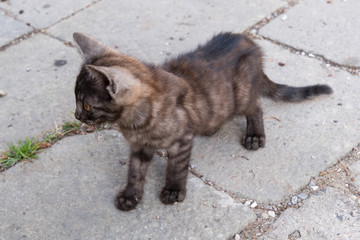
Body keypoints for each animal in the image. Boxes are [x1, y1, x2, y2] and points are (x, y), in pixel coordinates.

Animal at [71, 31, 334, 210]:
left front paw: (173, 191)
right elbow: (135, 171)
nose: (77, 116)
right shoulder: (140, 146)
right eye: (76, 100)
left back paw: (254, 135)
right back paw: (211, 127)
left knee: (256, 106)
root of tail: (250, 43)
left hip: (241, 95)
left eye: (87, 105)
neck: (136, 121)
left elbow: (176, 168)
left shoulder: (181, 141)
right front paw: (130, 195)